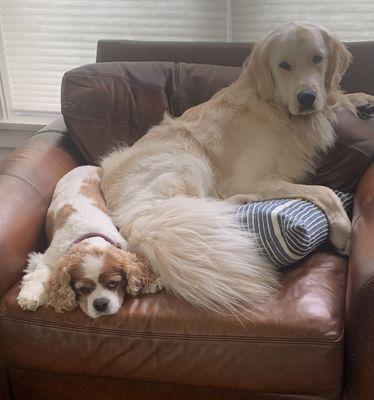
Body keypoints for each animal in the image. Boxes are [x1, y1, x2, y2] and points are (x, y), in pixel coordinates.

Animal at [17, 166, 162, 318]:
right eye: (83, 289)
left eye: (113, 283)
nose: (101, 303)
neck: (88, 235)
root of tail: (88, 166)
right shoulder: (50, 257)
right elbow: (40, 273)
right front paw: (30, 296)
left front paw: (151, 282)